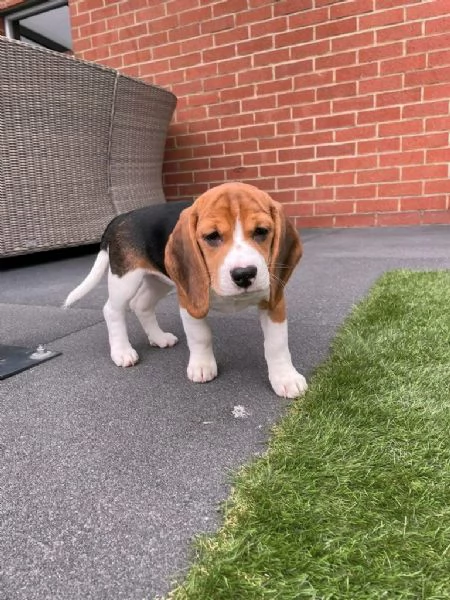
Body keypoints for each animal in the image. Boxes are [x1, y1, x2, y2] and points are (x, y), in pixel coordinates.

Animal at [63, 183, 308, 398]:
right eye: (212, 236)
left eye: (261, 231)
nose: (244, 274)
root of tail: (121, 217)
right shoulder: (188, 299)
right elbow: (200, 335)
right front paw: (202, 366)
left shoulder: (274, 300)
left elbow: (276, 343)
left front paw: (285, 378)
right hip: (125, 279)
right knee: (112, 310)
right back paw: (122, 351)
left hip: (159, 281)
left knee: (141, 305)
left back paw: (159, 338)